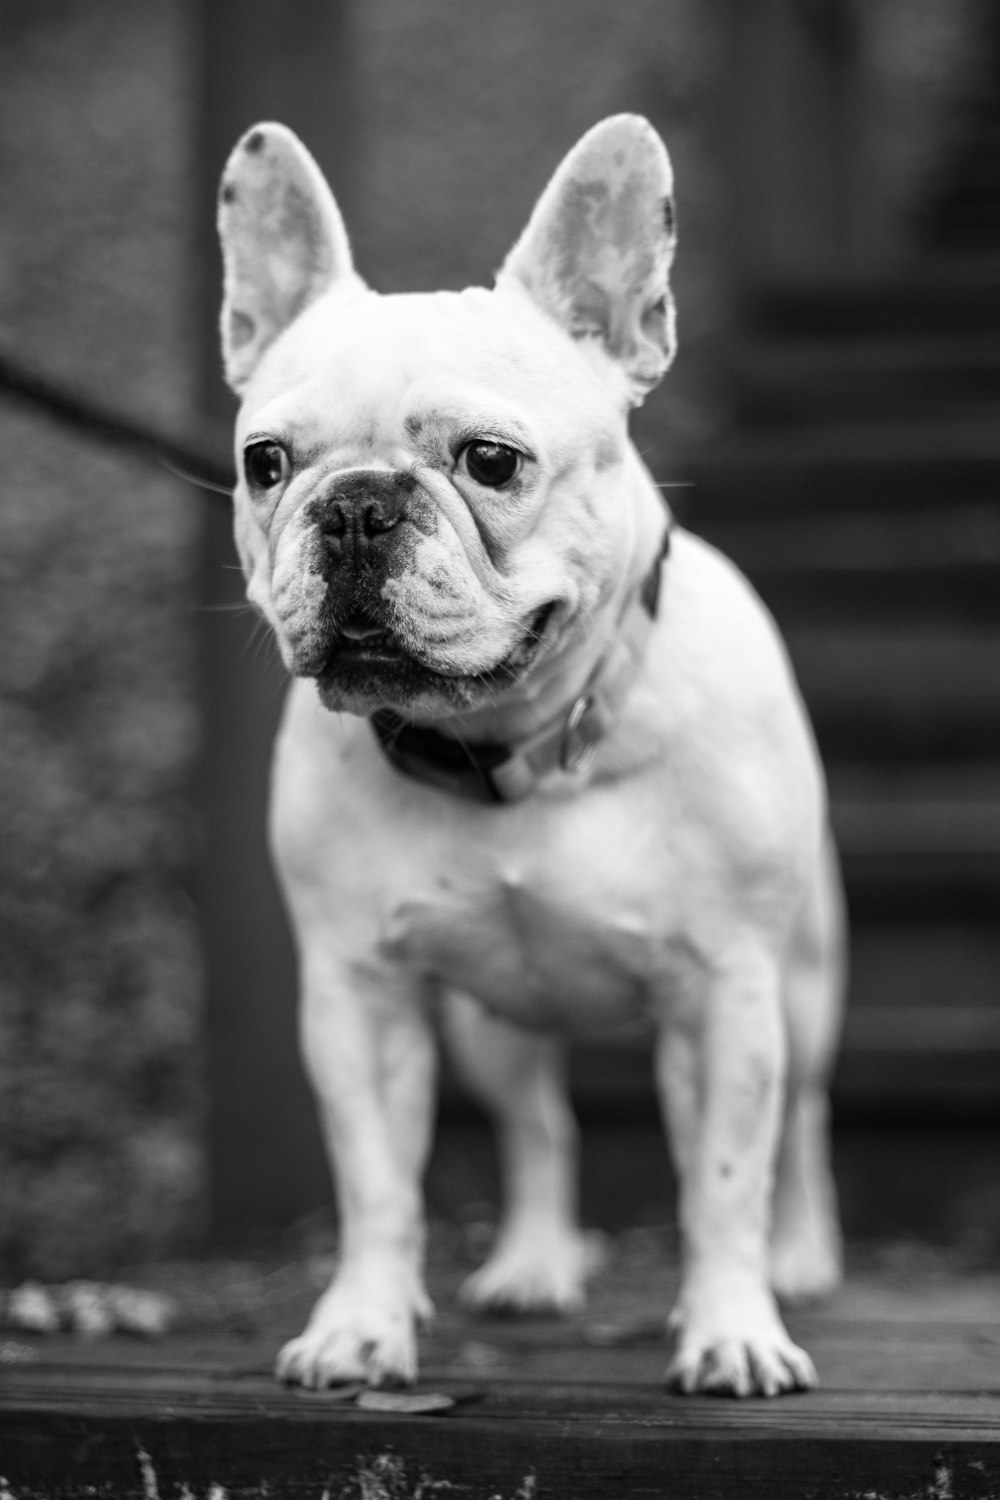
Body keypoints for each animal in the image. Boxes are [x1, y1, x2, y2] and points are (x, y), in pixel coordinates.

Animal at [218, 114, 845, 1392]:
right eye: (266, 464)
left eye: (490, 461)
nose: (354, 504)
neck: (514, 746)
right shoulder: (359, 997)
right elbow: (375, 1184)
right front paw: (361, 1324)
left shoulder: (729, 995)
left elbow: (723, 1182)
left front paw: (733, 1329)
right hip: (490, 1024)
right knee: (538, 1125)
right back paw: (534, 1265)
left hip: (806, 985)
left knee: (798, 1128)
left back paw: (801, 1260)